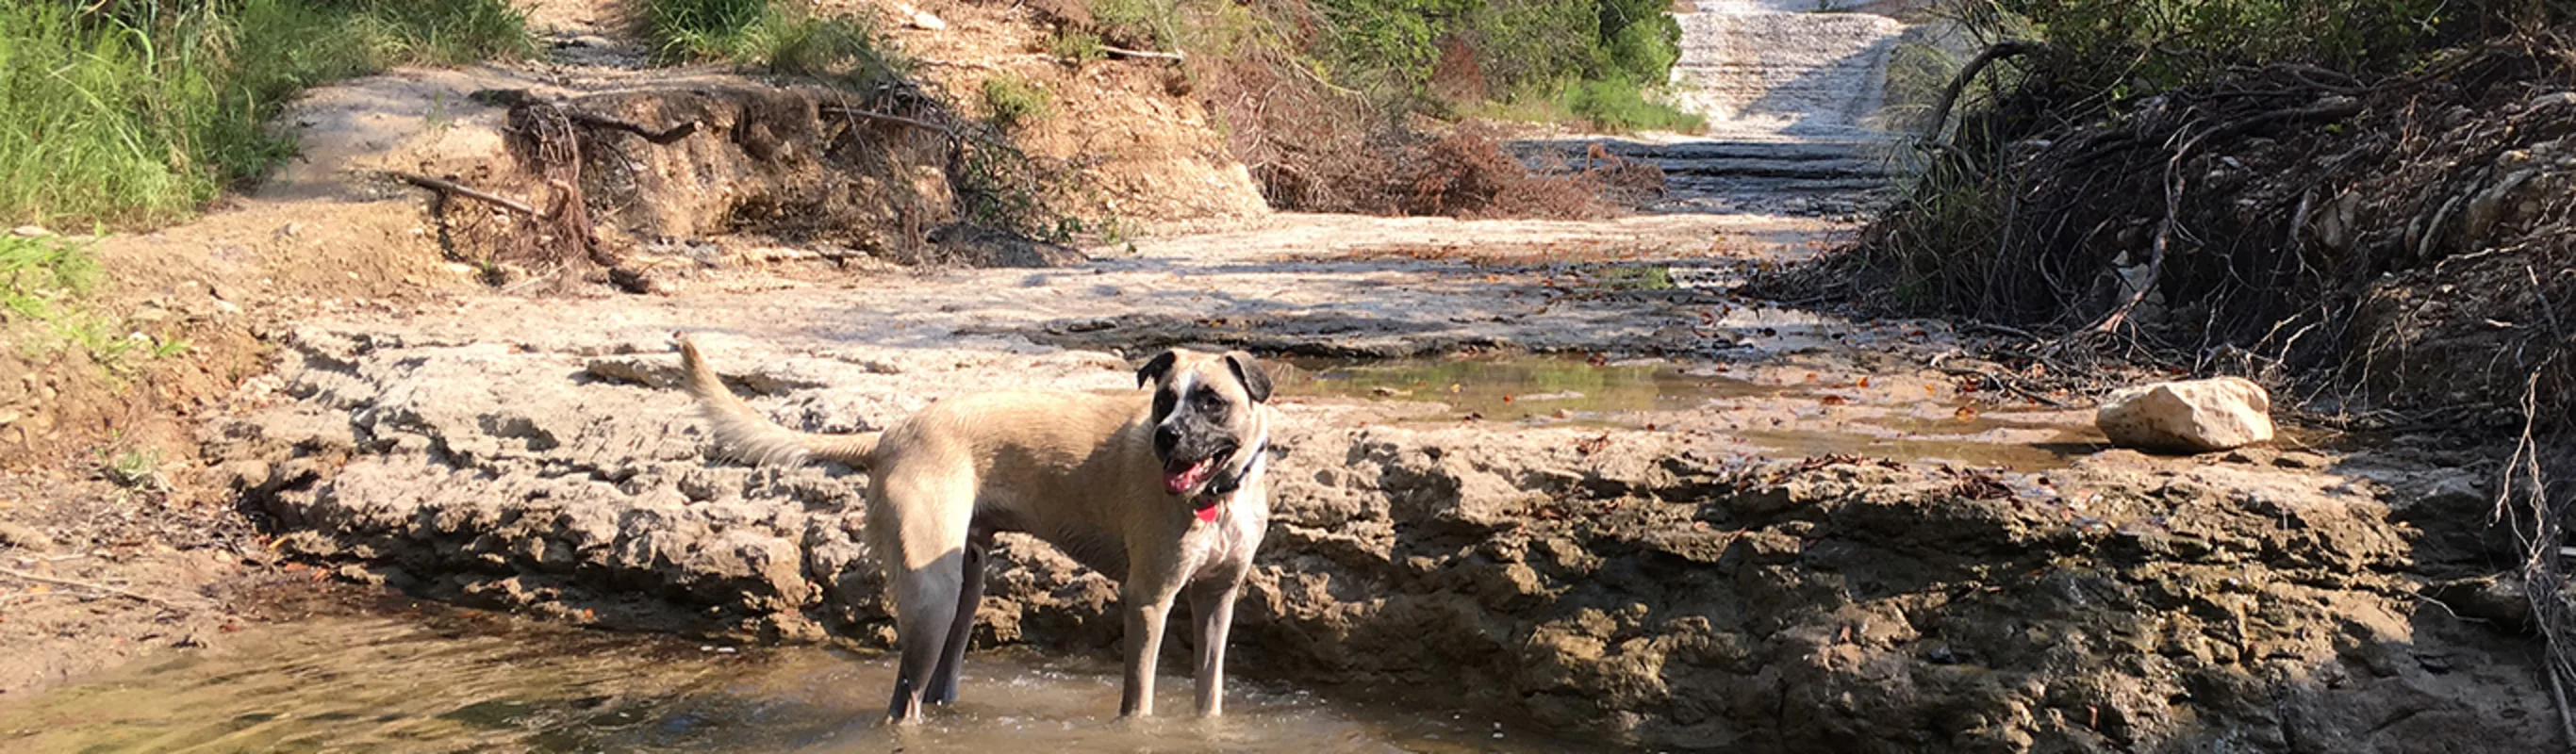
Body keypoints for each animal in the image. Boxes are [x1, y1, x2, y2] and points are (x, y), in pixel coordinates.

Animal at [680, 336, 1272, 720]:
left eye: (1211, 402)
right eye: (1163, 400)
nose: (1165, 438)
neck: (1217, 497)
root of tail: (889, 434)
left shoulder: (1218, 599)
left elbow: (1210, 694)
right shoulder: (1148, 600)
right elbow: (1138, 704)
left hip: (966, 588)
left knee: (936, 685)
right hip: (933, 599)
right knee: (903, 705)